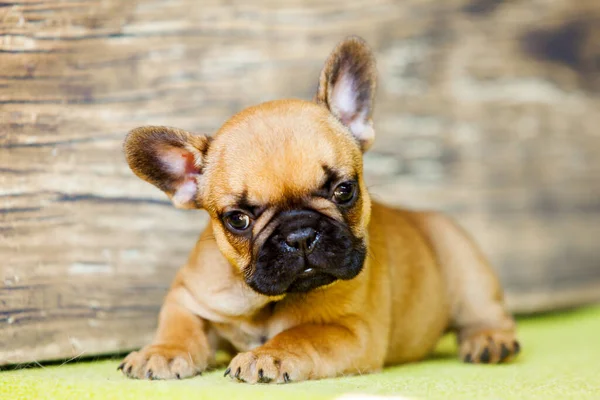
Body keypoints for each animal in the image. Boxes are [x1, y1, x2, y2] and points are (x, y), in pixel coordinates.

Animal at [119, 37, 516, 384]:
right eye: (238, 219)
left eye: (344, 190)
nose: (300, 235)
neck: (268, 303)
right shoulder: (189, 296)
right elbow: (179, 324)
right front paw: (162, 351)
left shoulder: (352, 330)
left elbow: (302, 335)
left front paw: (268, 354)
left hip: (466, 267)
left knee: (485, 312)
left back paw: (489, 340)